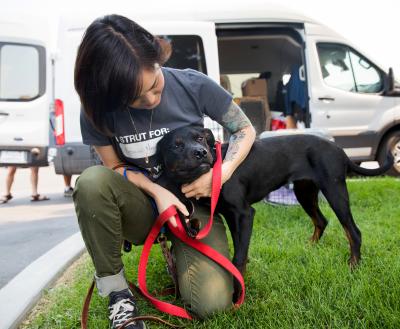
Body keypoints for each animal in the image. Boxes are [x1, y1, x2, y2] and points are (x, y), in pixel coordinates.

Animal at [155, 125, 390, 274]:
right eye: (176, 146)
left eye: (200, 138)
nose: (201, 152)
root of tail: (341, 150)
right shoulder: (232, 216)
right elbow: (240, 247)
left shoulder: (244, 213)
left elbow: (238, 256)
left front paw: (237, 296)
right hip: (305, 192)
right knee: (321, 221)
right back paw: (310, 248)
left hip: (334, 190)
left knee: (353, 231)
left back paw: (353, 265)